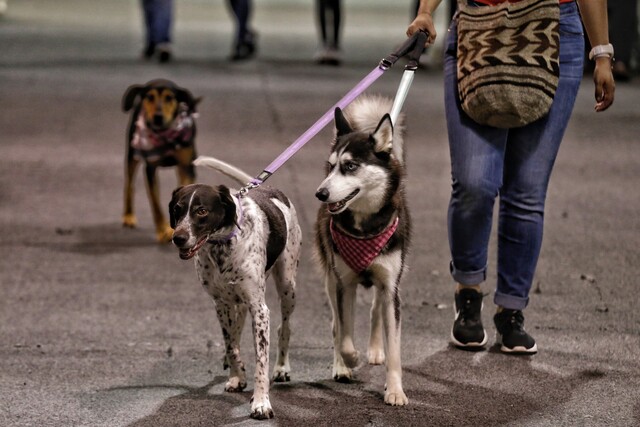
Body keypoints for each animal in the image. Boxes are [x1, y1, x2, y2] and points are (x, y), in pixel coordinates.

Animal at [121, 78, 199, 242]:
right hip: (132, 153)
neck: (165, 135)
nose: (158, 116)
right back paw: (128, 216)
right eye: (149, 97)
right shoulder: (150, 168)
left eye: (169, 98)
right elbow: (155, 203)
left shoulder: (187, 166)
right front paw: (163, 231)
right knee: (129, 184)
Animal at [169, 155, 302, 420]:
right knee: (237, 331)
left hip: (287, 286)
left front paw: (261, 402)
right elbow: (231, 344)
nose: (178, 238)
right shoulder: (221, 304)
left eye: (201, 211)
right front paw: (237, 375)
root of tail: (269, 188)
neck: (221, 247)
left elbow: (261, 361)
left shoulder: (259, 310)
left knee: (284, 327)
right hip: (237, 302)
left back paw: (282, 367)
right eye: (177, 209)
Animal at [314, 95, 410, 406]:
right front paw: (350, 360)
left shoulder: (392, 286)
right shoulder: (344, 282)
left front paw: (395, 389)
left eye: (351, 166)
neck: (364, 226)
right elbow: (344, 335)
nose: (320, 193)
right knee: (336, 324)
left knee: (375, 309)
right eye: (331, 166)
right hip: (331, 279)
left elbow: (395, 349)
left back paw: (376, 350)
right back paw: (342, 365)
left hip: (384, 283)